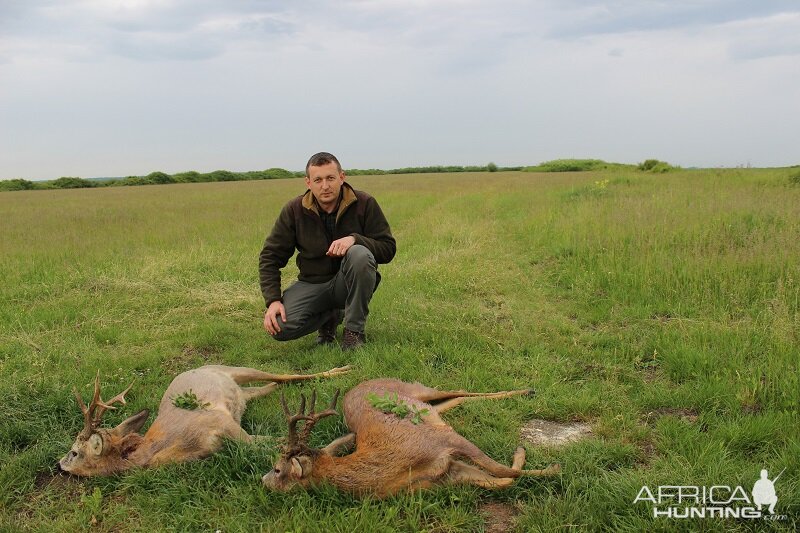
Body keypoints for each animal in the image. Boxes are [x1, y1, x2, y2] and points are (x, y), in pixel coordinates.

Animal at [59, 364, 350, 476]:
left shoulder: (221, 422)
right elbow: (270, 441)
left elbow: (269, 442)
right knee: (270, 387)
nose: (59, 463)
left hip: (236, 368)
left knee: (285, 376)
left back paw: (341, 370)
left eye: (74, 452)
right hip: (243, 392)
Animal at [264, 376, 564, 496]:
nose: (262, 480)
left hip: (420, 391)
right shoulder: (444, 475)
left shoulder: (446, 439)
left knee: (457, 390)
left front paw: (551, 465)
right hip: (430, 407)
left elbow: (503, 471)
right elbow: (502, 481)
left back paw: (527, 390)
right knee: (454, 399)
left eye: (277, 469)